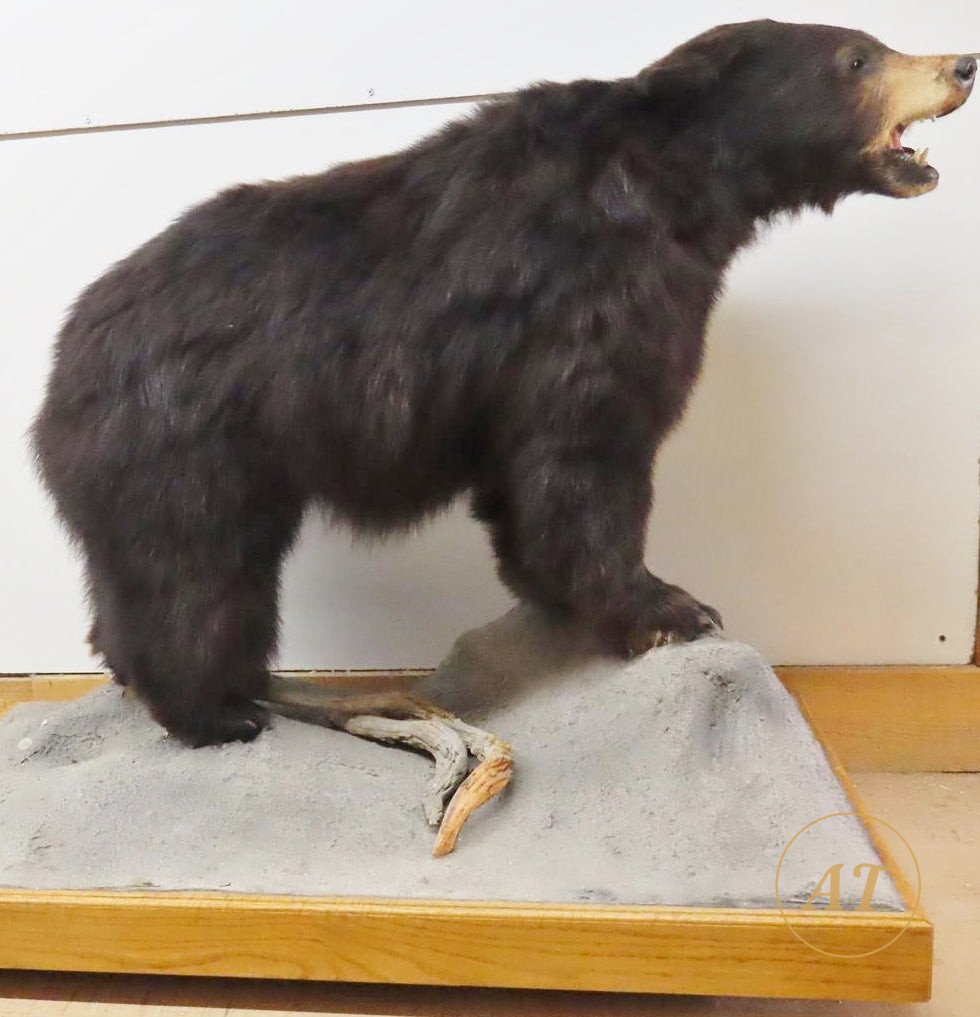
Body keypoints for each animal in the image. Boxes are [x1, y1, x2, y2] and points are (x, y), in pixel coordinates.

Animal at [31, 20, 975, 746]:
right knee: (192, 573)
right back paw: (218, 713)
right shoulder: (587, 303)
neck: (674, 188)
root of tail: (63, 364)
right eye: (857, 57)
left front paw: (564, 598)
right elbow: (586, 451)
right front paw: (671, 606)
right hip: (185, 445)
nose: (962, 63)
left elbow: (531, 484)